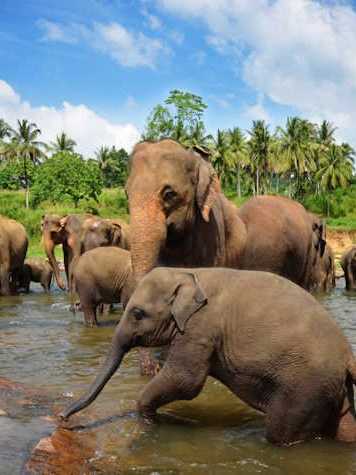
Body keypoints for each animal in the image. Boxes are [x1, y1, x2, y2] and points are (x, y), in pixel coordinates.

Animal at [59, 268, 356, 446]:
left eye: (138, 313)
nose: (63, 418)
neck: (189, 273)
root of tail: (347, 358)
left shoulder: (200, 328)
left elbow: (186, 381)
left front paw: (148, 418)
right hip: (330, 390)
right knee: (345, 428)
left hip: (304, 388)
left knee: (280, 433)